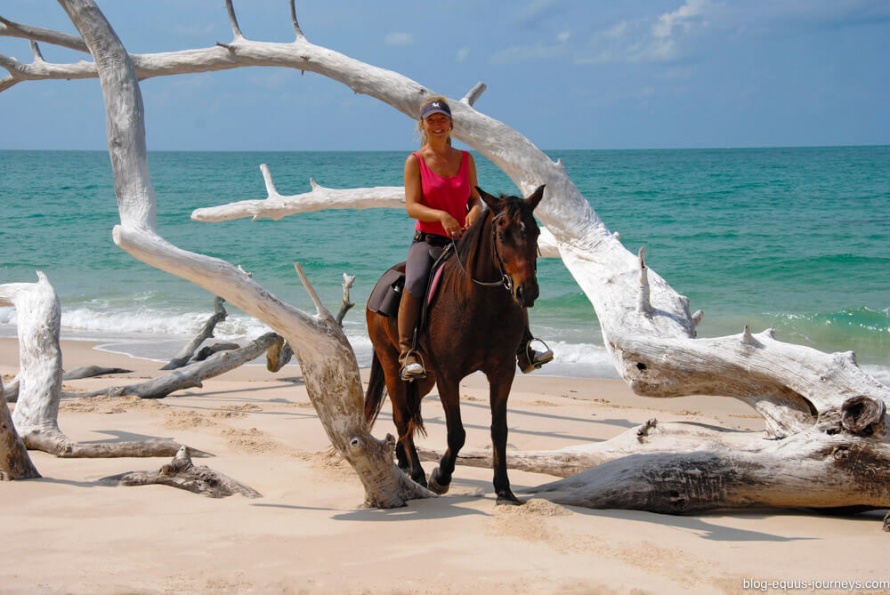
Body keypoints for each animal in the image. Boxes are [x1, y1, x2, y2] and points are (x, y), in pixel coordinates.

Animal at [364, 184, 544, 506]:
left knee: (409, 414)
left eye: (535, 231)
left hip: (425, 377)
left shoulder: (502, 371)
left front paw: (504, 490)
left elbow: (499, 430)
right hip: (391, 364)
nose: (527, 291)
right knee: (401, 416)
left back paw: (405, 462)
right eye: (501, 233)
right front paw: (441, 477)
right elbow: (457, 433)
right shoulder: (449, 376)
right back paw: (418, 473)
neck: (481, 303)